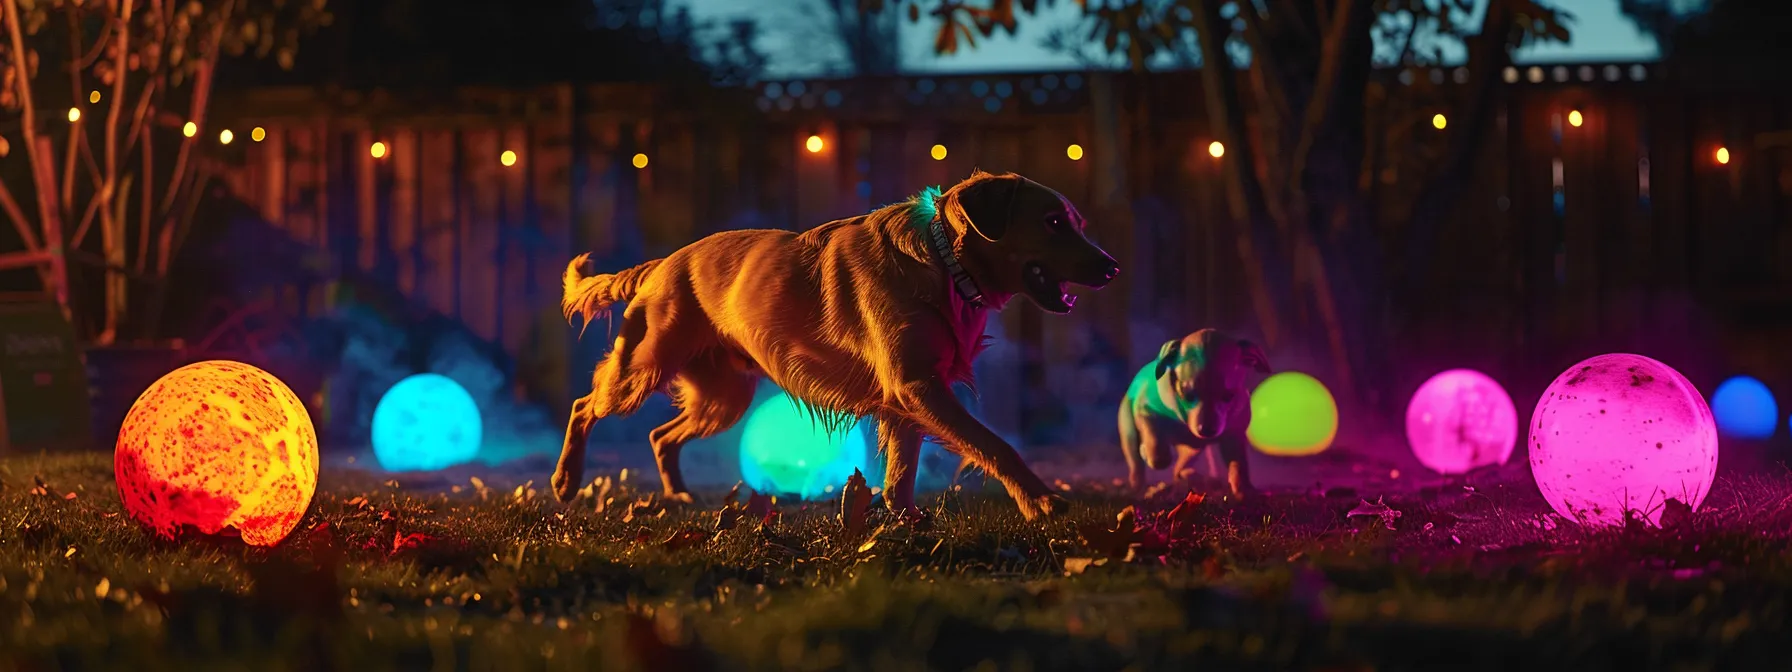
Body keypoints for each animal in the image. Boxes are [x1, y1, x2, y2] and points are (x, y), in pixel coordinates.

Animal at [555, 171, 1118, 523]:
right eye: (1052, 222)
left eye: (1075, 223)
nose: (1112, 267)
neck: (943, 263)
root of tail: (662, 264)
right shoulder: (917, 386)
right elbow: (994, 445)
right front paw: (1039, 501)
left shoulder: (906, 401)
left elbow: (900, 475)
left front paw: (906, 523)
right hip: (640, 370)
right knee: (584, 406)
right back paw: (566, 481)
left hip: (723, 398)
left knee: (660, 435)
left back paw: (675, 493)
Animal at [1118, 329, 1275, 498]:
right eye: (1187, 394)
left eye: (1229, 396)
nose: (1206, 430)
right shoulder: (1145, 411)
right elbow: (1156, 446)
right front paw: (1147, 452)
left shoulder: (1234, 436)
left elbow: (1239, 464)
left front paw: (1244, 490)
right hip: (1129, 432)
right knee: (1136, 465)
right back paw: (1136, 486)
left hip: (1192, 451)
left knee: (1179, 466)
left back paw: (1186, 475)